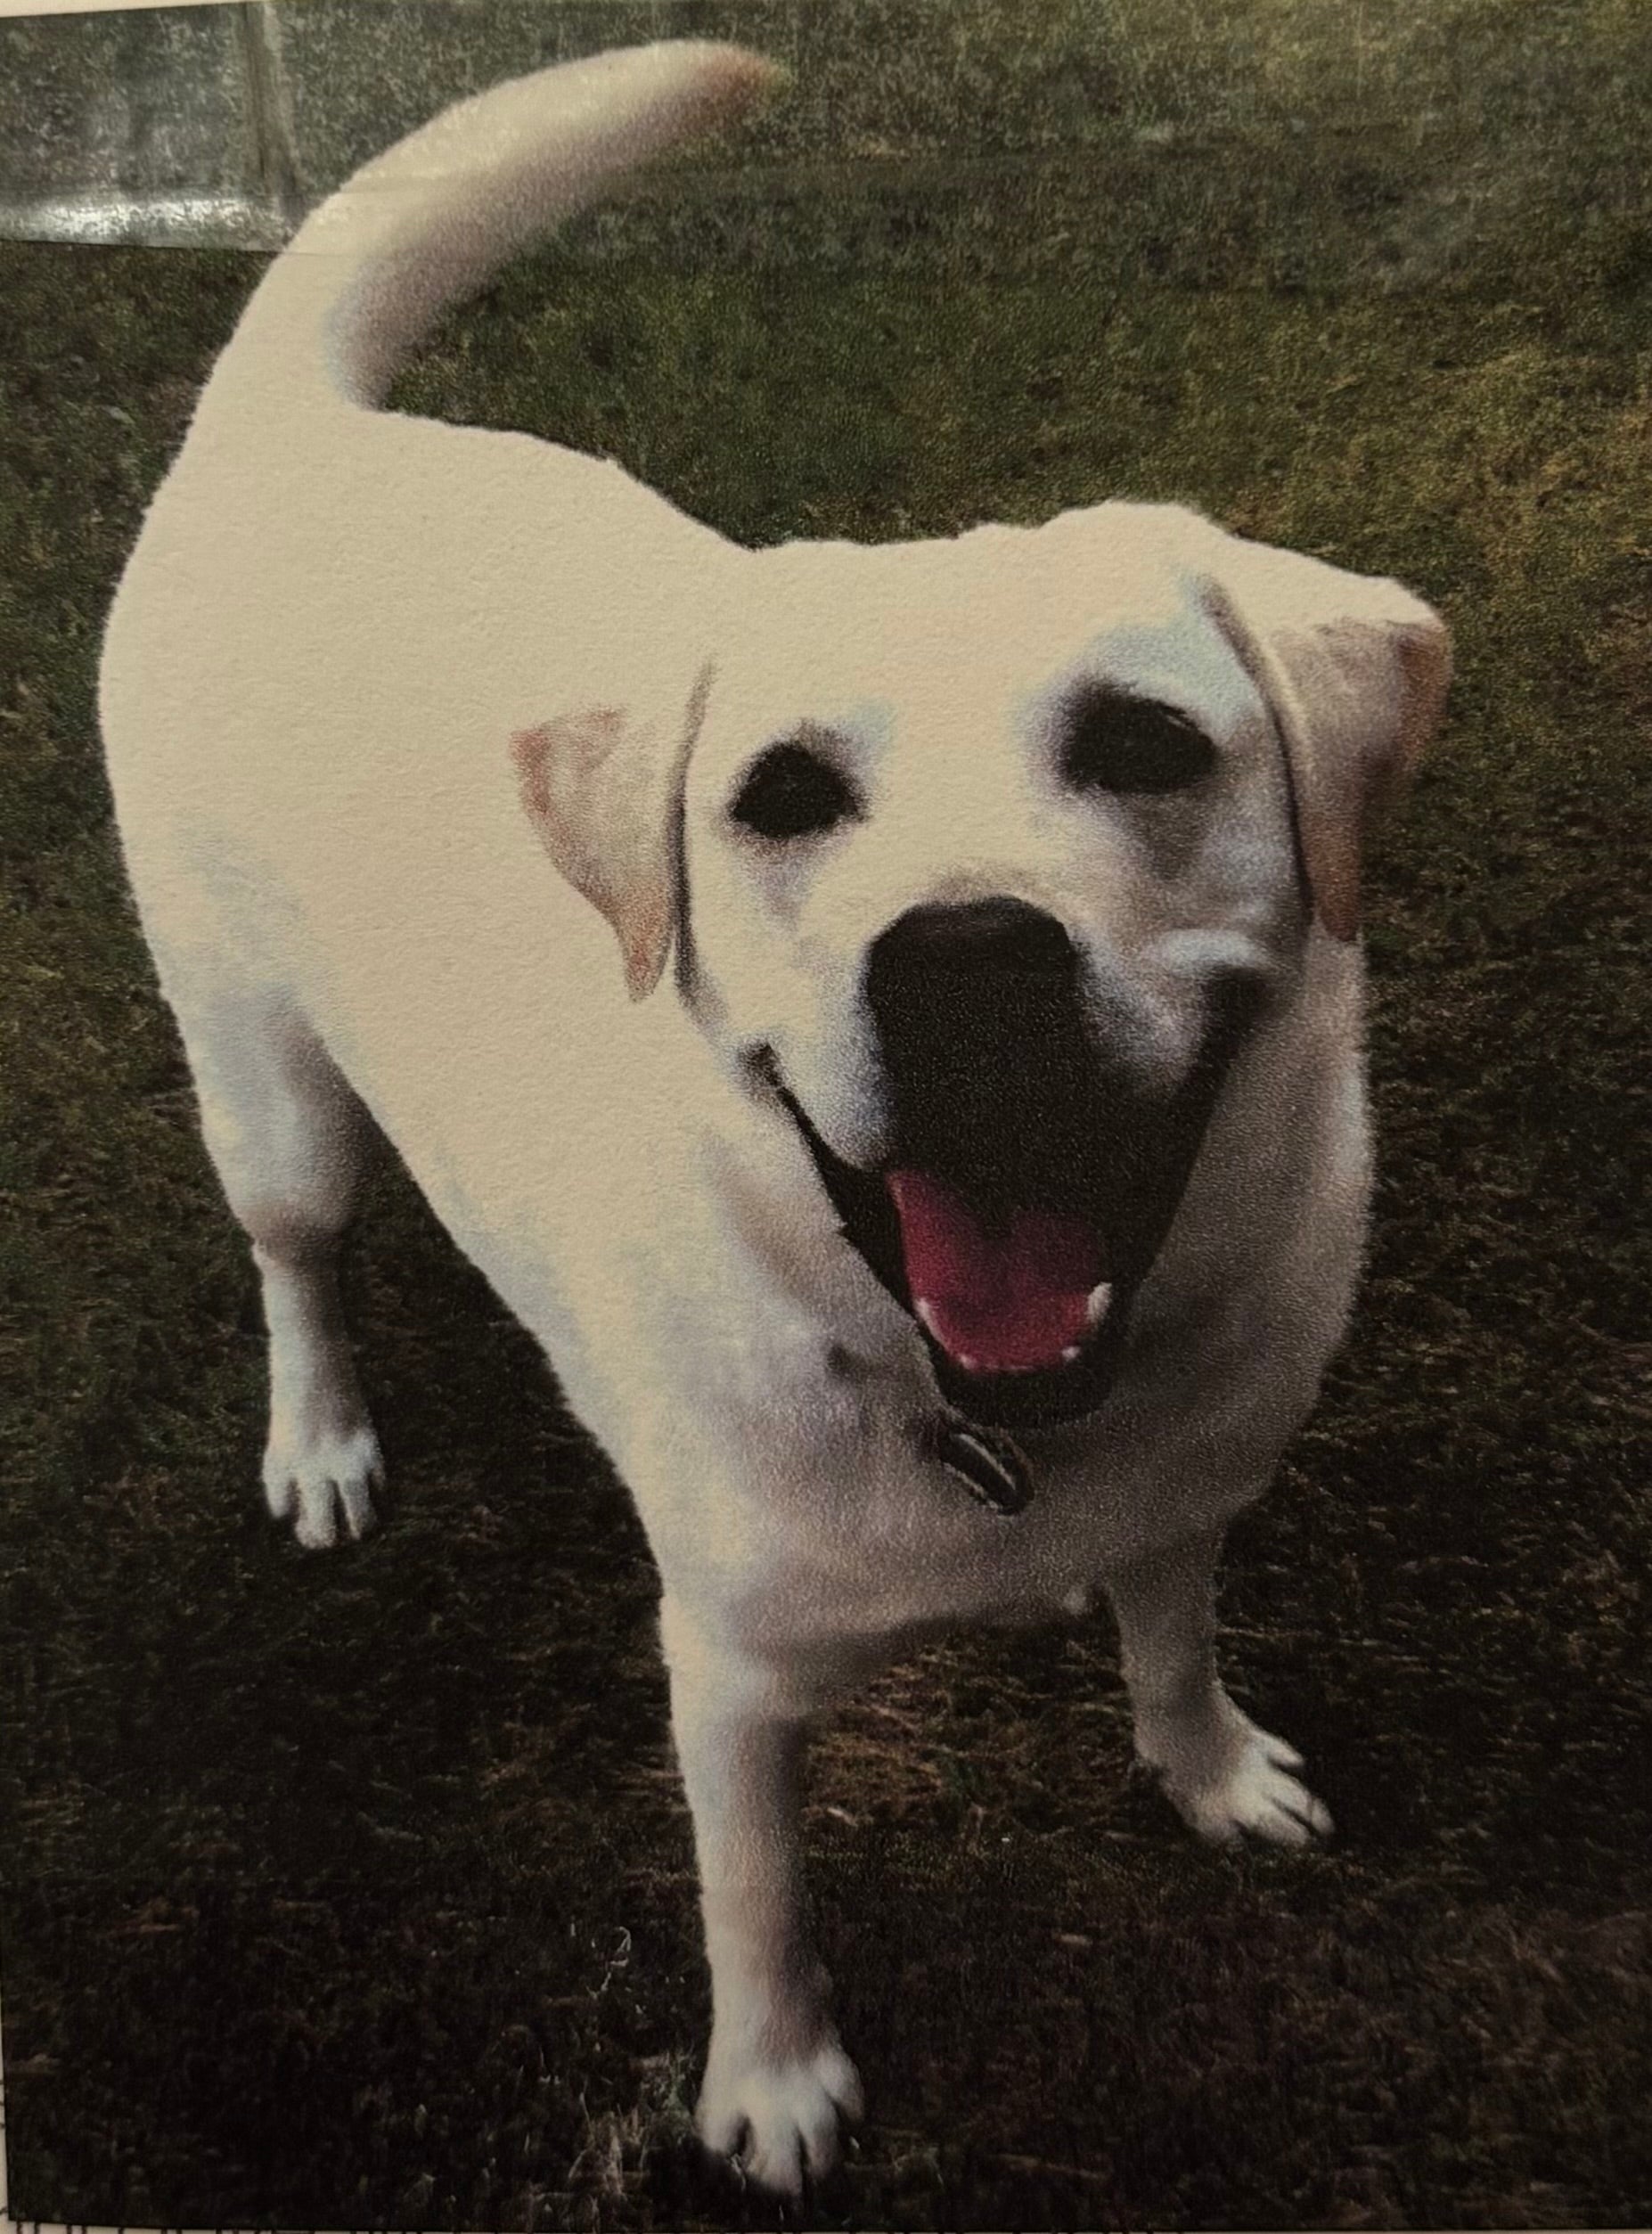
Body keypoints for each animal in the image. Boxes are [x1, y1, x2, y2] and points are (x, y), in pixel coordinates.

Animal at [100, 41, 1449, 2195]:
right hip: (265, 1089)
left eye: (1148, 743)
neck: (986, 1418)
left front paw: (1210, 1769)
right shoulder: (727, 1677)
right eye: (783, 794)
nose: (965, 959)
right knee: (296, 1250)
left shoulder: (1185, 1506)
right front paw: (774, 2082)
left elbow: (1168, 1645)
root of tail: (287, 421)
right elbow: (758, 1892)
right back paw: (318, 1436)